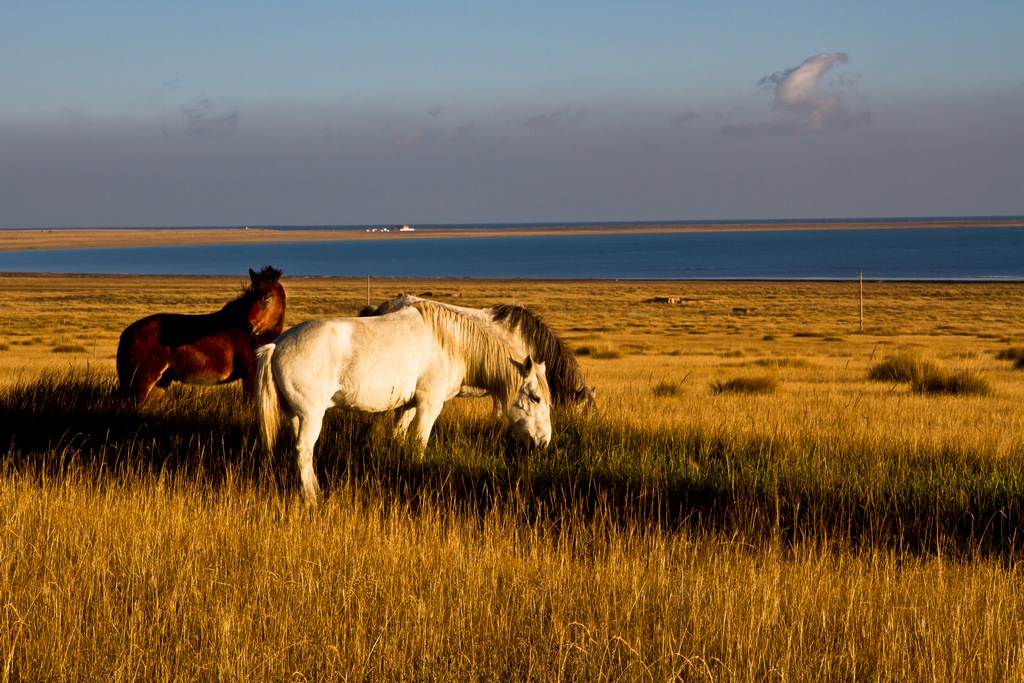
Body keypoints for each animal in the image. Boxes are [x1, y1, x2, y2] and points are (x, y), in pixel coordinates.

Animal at [117, 266, 286, 405]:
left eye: (266, 296)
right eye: (250, 297)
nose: (248, 326)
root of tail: (127, 333)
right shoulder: (250, 375)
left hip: (160, 382)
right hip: (142, 382)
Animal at [254, 301, 552, 505]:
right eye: (535, 398)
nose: (544, 442)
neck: (449, 343)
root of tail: (276, 347)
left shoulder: (408, 406)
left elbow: (399, 437)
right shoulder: (430, 403)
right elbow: (420, 441)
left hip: (296, 416)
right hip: (312, 415)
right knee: (304, 450)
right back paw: (312, 499)